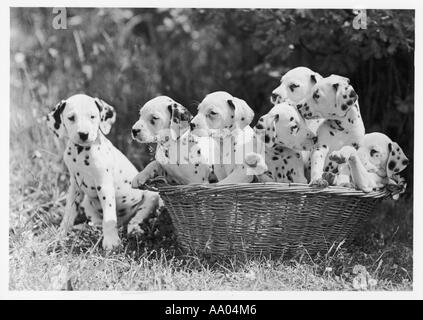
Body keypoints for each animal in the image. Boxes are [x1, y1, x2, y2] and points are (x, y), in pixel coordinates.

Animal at [46, 94, 161, 249]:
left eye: (92, 116)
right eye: (71, 118)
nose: (84, 134)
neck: (81, 153)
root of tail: (122, 223)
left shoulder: (104, 186)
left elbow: (109, 217)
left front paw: (111, 241)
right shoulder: (74, 187)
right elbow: (69, 213)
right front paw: (61, 234)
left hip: (150, 197)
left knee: (136, 219)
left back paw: (134, 230)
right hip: (87, 204)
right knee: (96, 224)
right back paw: (85, 228)